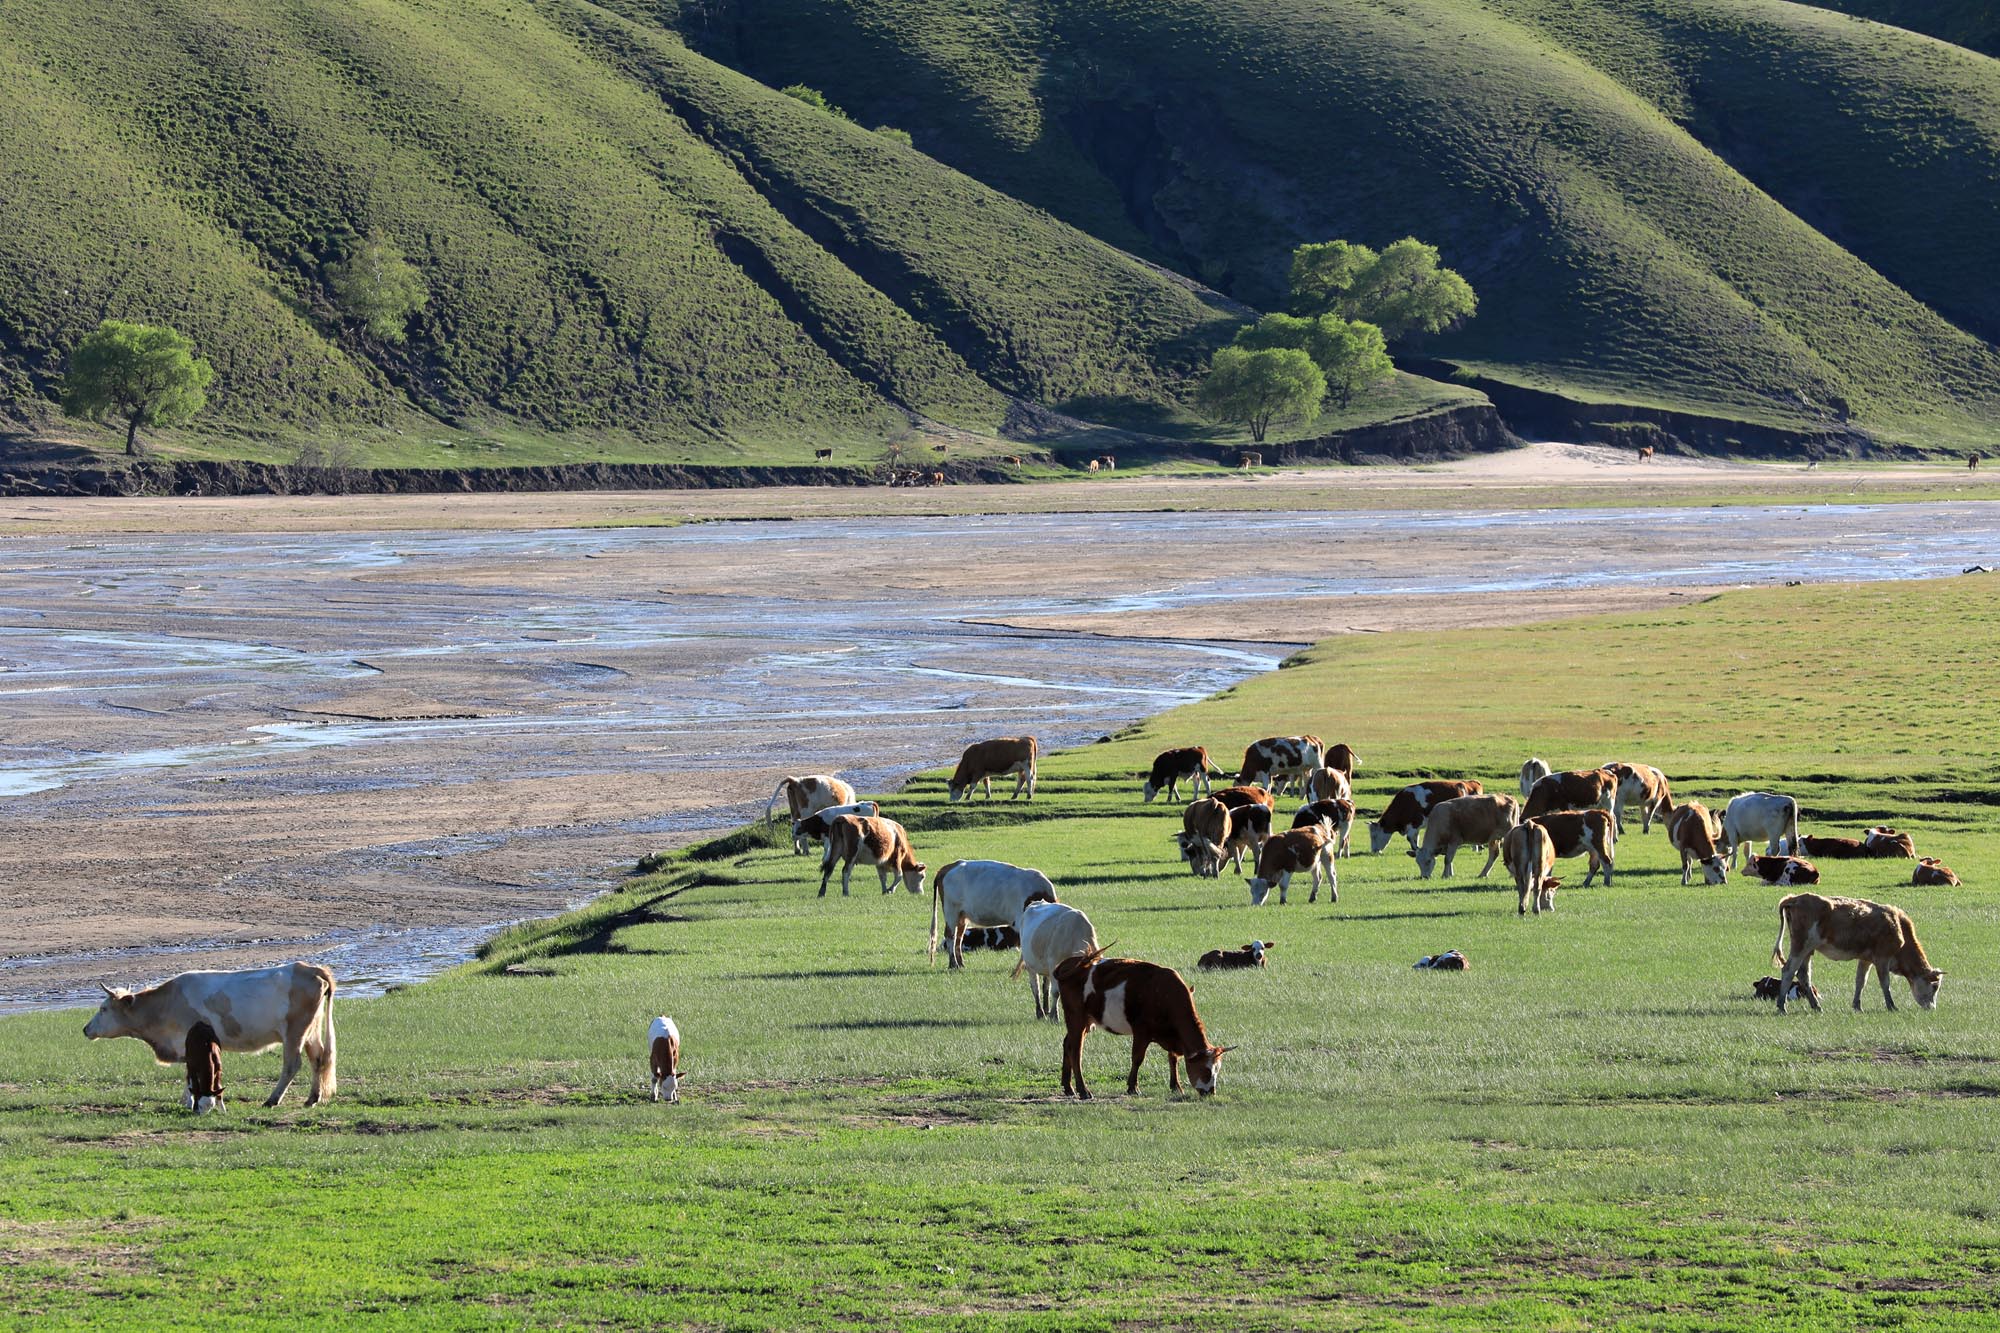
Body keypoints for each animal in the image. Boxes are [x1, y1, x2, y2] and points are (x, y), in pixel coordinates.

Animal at [83, 960, 336, 1104]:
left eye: (103, 1008)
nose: (86, 1029)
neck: (166, 1004)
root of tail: (310, 969)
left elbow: (189, 1073)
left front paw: (187, 1100)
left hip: (294, 1032)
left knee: (292, 1064)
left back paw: (272, 1100)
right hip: (311, 1032)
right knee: (318, 1058)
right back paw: (312, 1099)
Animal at [928, 860, 1064, 964]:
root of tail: (949, 866)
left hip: (962, 915)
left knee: (958, 937)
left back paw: (961, 964)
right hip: (951, 910)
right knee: (950, 935)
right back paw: (953, 964)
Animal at [1048, 948, 1232, 1096]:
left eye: (1217, 1070)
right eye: (1206, 1071)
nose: (1210, 1092)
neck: (1165, 995)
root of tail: (1069, 964)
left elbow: (1173, 1059)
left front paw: (1176, 1086)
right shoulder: (1141, 1032)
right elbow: (1137, 1058)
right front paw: (1133, 1087)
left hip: (1086, 1021)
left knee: (1068, 1044)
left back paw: (1068, 1087)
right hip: (1076, 1018)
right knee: (1076, 1051)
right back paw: (1083, 1090)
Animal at [1368, 780, 1496, 852]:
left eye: (1374, 836)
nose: (1374, 851)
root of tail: (1470, 783)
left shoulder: (1416, 821)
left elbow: (1409, 837)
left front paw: (1416, 849)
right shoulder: (1415, 825)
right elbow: (1415, 837)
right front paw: (1417, 847)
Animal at [1776, 892, 1944, 1008]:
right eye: (1935, 986)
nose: (1932, 1008)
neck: (1898, 926)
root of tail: (1794, 899)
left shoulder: (1865, 960)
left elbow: (1860, 982)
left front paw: (1857, 1006)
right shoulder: (1882, 959)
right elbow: (1885, 983)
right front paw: (1891, 1006)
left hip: (1807, 951)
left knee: (1803, 975)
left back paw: (1816, 1006)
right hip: (1800, 947)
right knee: (1788, 971)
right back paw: (1781, 1006)